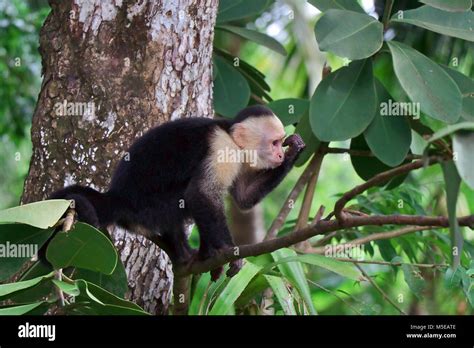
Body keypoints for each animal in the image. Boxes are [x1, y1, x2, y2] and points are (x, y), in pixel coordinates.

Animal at [50, 105, 306, 280]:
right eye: (274, 143)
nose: (280, 155)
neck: (230, 135)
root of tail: (117, 198)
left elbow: (244, 197)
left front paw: (295, 149)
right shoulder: (222, 148)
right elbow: (200, 194)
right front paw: (226, 250)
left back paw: (189, 252)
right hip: (149, 208)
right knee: (187, 195)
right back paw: (201, 252)